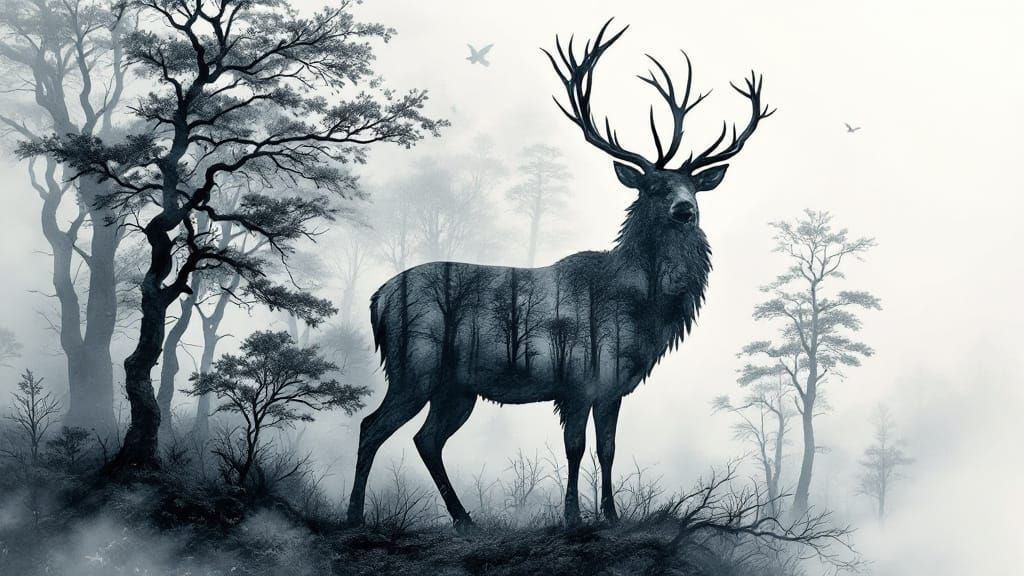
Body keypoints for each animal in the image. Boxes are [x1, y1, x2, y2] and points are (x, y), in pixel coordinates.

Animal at [346, 19, 773, 530]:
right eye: (653, 186)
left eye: (693, 186)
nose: (685, 210)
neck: (642, 310)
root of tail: (376, 299)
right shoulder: (578, 378)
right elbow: (575, 447)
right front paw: (573, 517)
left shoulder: (614, 386)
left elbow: (608, 449)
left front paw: (611, 515)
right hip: (415, 364)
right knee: (372, 426)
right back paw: (355, 516)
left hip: (456, 386)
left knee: (426, 438)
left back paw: (464, 519)